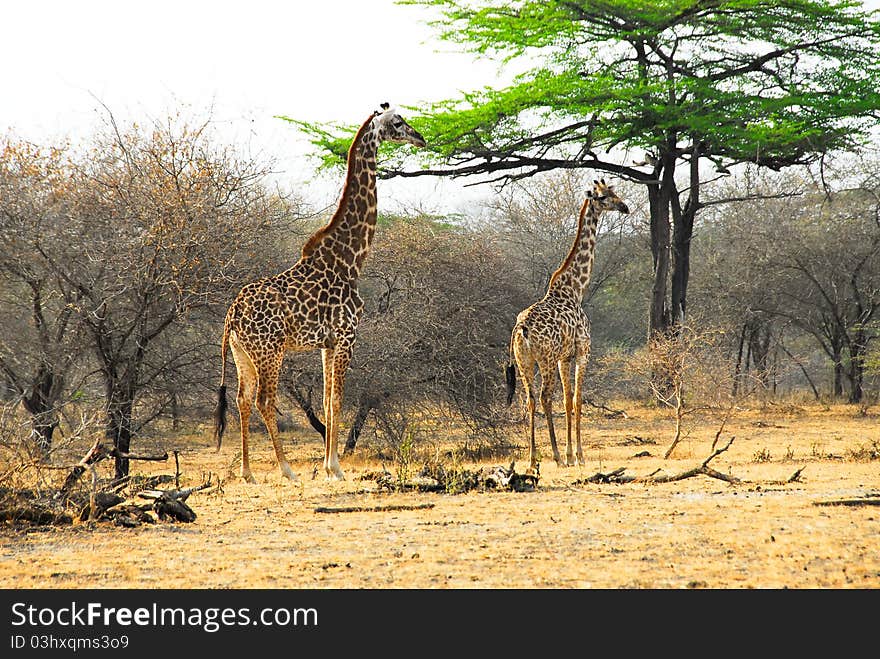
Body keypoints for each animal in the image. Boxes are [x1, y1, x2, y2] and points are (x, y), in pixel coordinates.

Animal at [213, 104, 426, 484]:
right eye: (398, 122)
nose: (421, 137)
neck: (351, 259)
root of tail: (231, 317)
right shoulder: (346, 335)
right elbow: (337, 401)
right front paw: (335, 469)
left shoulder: (327, 343)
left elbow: (327, 402)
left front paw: (329, 466)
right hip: (270, 351)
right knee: (264, 400)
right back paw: (286, 470)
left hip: (242, 355)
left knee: (241, 399)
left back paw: (247, 473)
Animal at [506, 178, 628, 472]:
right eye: (604, 196)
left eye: (614, 192)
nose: (625, 207)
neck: (575, 289)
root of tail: (521, 329)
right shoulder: (583, 352)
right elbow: (578, 400)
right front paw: (578, 455)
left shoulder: (565, 357)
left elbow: (568, 399)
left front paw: (571, 453)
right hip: (545, 360)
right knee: (544, 398)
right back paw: (554, 457)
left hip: (525, 362)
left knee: (529, 400)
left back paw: (532, 459)